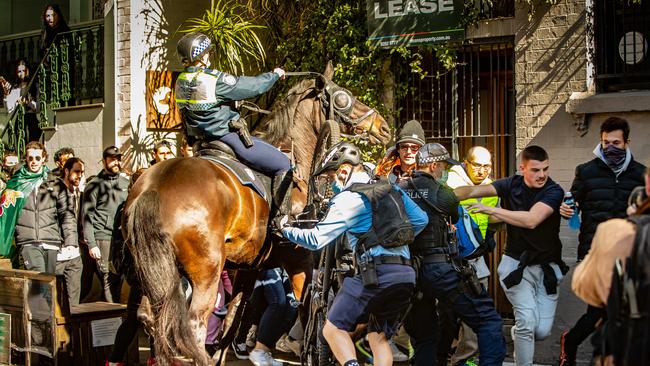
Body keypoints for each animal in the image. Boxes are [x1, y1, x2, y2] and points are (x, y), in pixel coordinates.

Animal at [122, 63, 388, 366]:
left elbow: (232, 319)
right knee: (192, 325)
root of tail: (154, 186)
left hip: (156, 275)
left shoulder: (248, 267)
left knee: (153, 319)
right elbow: (306, 309)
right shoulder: (299, 260)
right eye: (344, 96)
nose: (383, 126)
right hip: (206, 274)